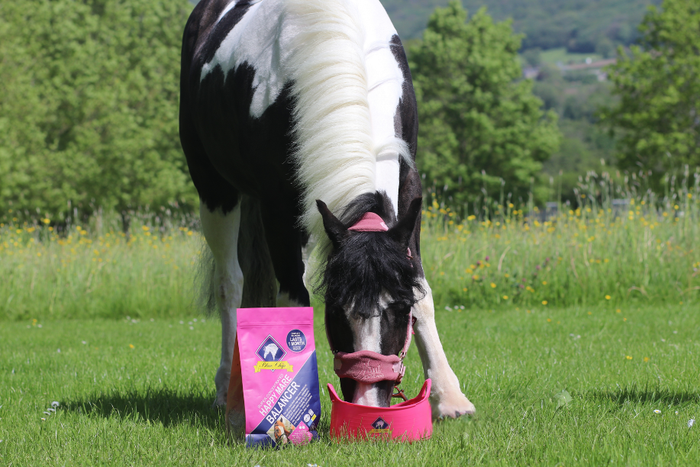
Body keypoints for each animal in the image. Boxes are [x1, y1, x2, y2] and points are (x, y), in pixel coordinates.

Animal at [179, 0, 475, 420]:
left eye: (399, 309)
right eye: (334, 310)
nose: (368, 402)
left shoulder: (409, 188)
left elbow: (422, 289)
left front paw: (450, 397)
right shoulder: (279, 206)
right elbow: (292, 300)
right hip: (214, 189)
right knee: (230, 284)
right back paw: (227, 390)